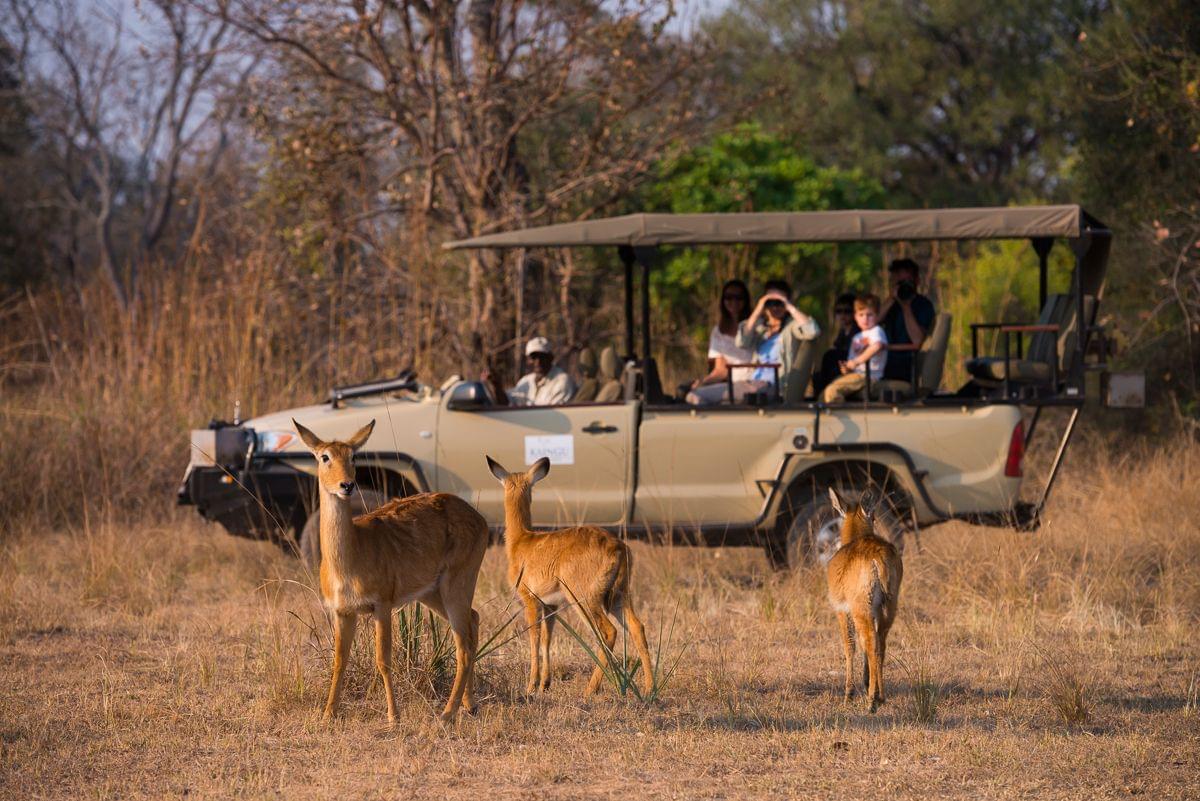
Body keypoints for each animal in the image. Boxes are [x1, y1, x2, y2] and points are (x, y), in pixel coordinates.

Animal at [292, 419, 489, 724]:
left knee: (464, 647)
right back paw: (470, 705)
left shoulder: (381, 605)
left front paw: (393, 716)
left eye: (354, 456)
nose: (347, 485)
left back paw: (447, 713)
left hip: (456, 584)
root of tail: (480, 519)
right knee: (474, 619)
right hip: (431, 593)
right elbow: (339, 660)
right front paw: (327, 714)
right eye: (324, 456)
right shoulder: (342, 611)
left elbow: (383, 660)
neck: (349, 561)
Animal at [482, 455, 657, 695]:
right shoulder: (550, 605)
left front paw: (530, 686)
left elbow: (534, 637)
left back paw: (590, 689)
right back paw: (649, 689)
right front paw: (544, 684)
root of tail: (619, 547)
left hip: (585, 600)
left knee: (609, 631)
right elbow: (547, 639)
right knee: (637, 627)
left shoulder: (530, 600)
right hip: (618, 597)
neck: (522, 541)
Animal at [830, 489, 902, 714]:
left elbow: (850, 646)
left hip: (861, 608)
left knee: (871, 643)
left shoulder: (842, 610)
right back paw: (880, 696)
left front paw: (849, 694)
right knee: (880, 644)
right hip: (889, 607)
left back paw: (872, 701)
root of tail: (878, 556)